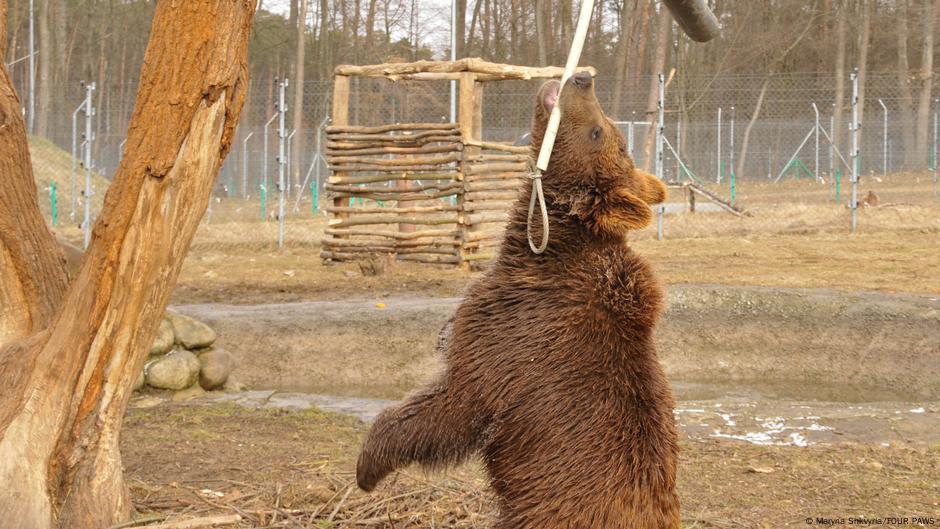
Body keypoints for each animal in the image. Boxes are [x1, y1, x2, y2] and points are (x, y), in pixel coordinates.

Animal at [356, 71, 680, 528]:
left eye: (598, 131)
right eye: (610, 127)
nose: (584, 77)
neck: (542, 250)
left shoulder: (509, 343)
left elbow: (448, 408)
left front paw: (368, 464)